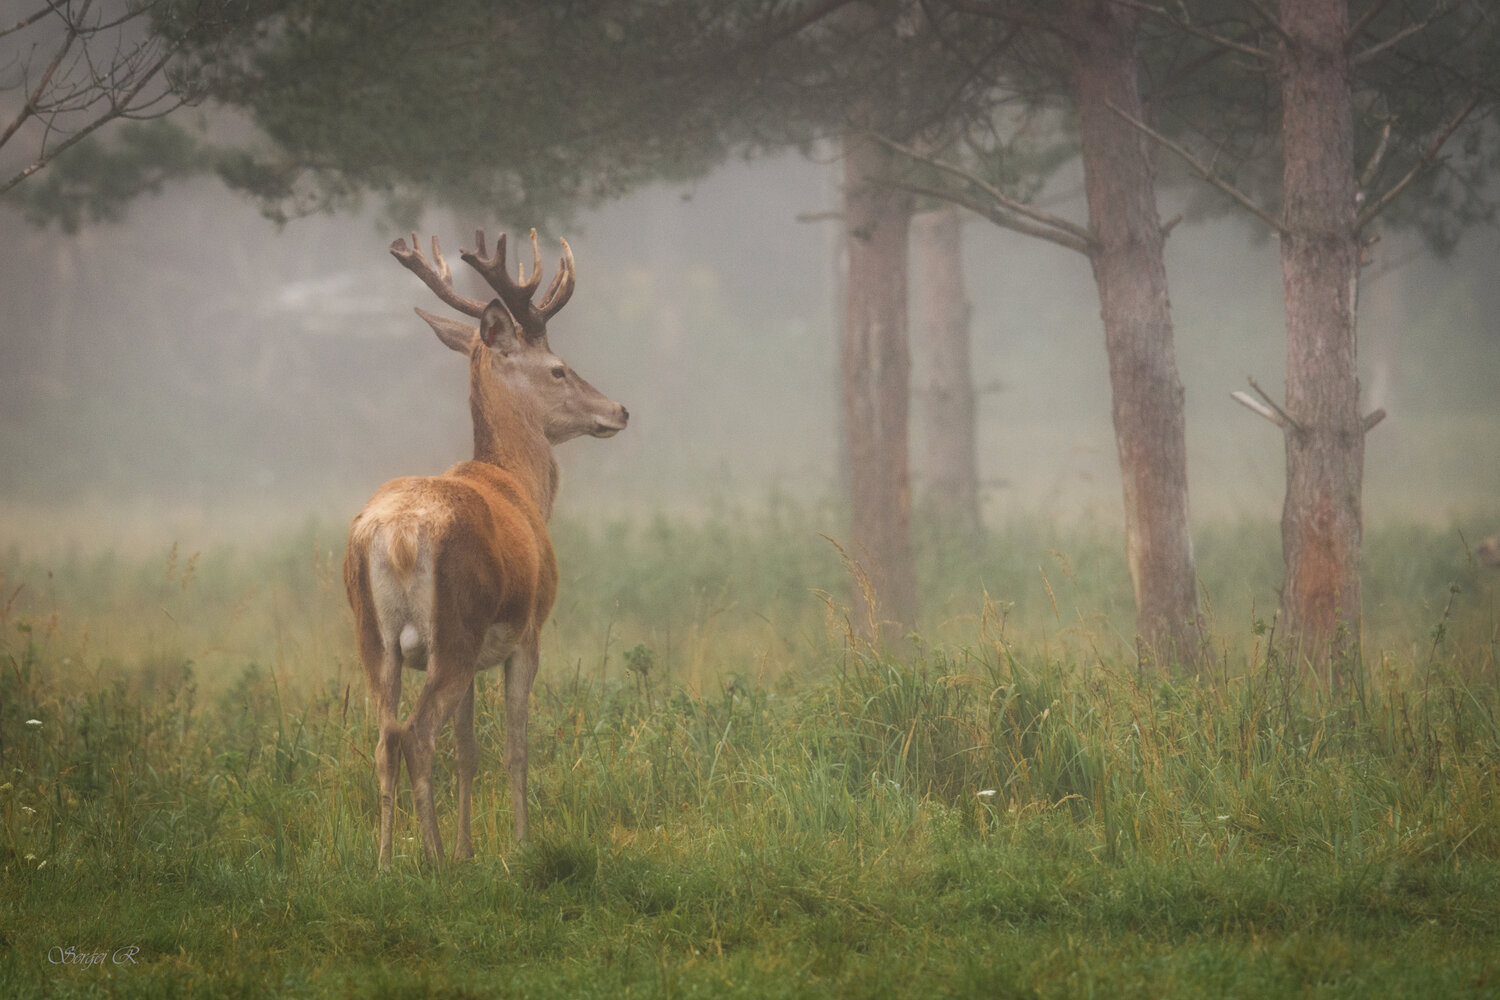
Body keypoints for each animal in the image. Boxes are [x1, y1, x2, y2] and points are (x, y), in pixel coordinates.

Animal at [344, 228, 627, 869]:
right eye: (559, 369)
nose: (620, 409)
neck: (519, 486)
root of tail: (396, 534)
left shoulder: (475, 659)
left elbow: (469, 750)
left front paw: (470, 849)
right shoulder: (528, 632)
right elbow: (516, 748)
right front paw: (519, 846)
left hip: (374, 638)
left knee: (384, 738)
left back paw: (384, 863)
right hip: (455, 625)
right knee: (417, 733)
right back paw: (429, 861)